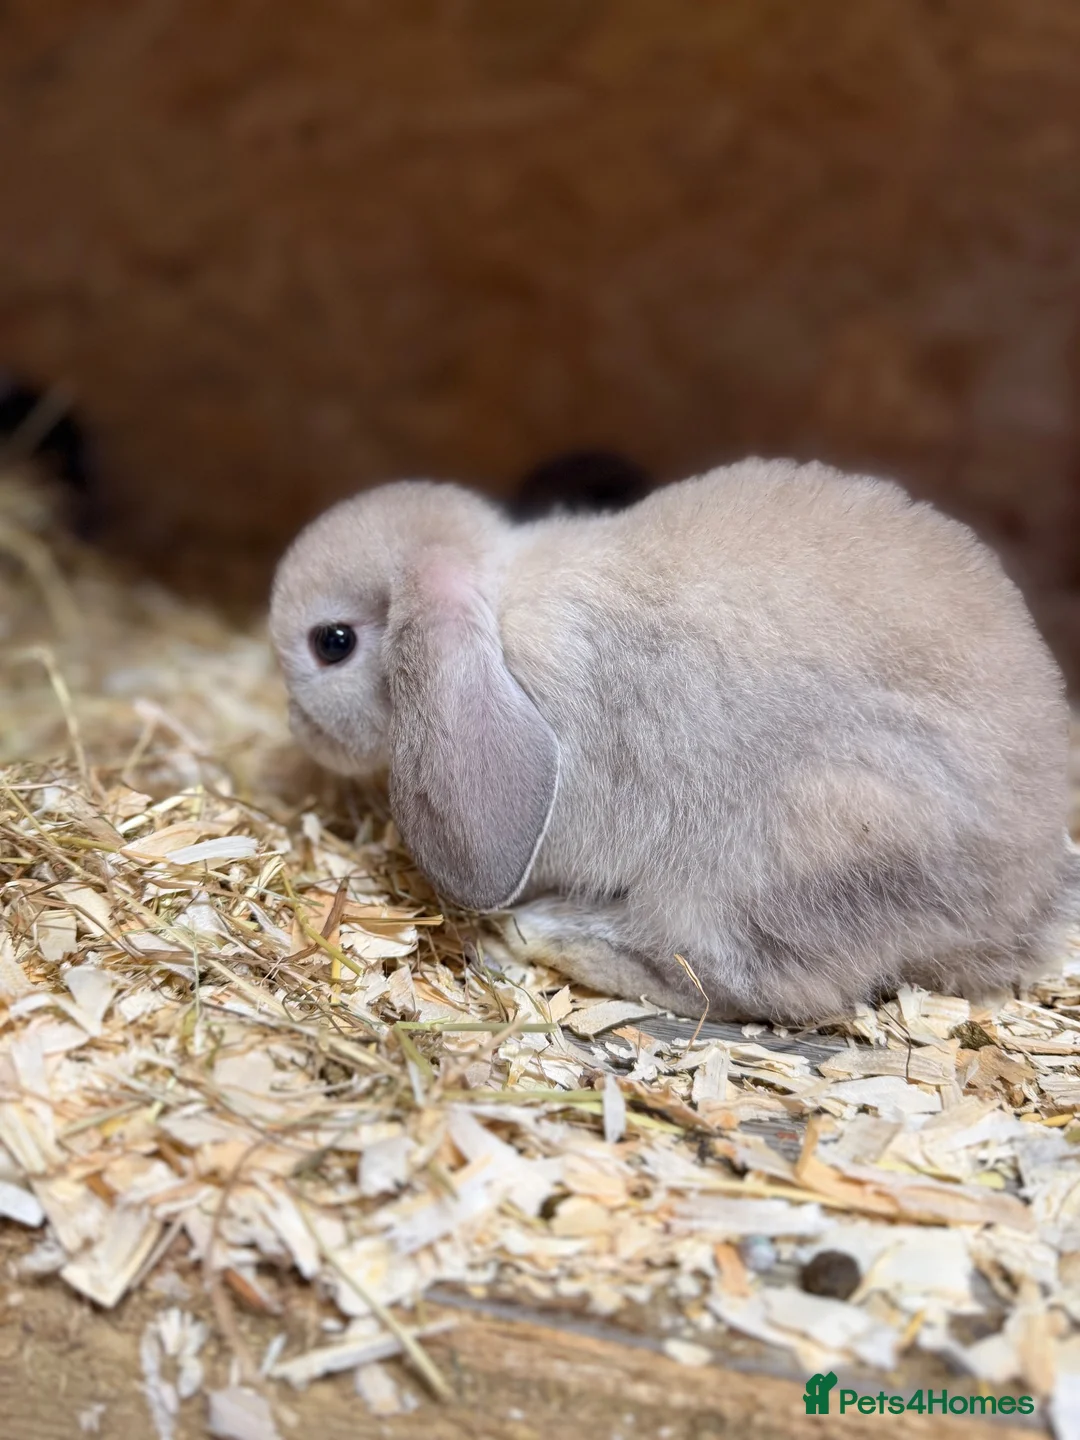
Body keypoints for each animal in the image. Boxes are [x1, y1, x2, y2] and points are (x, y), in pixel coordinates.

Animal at [269, 458, 1075, 1024]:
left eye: (332, 643)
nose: (300, 730)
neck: (497, 608)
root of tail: (1018, 902)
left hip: (792, 847)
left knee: (750, 986)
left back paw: (550, 934)